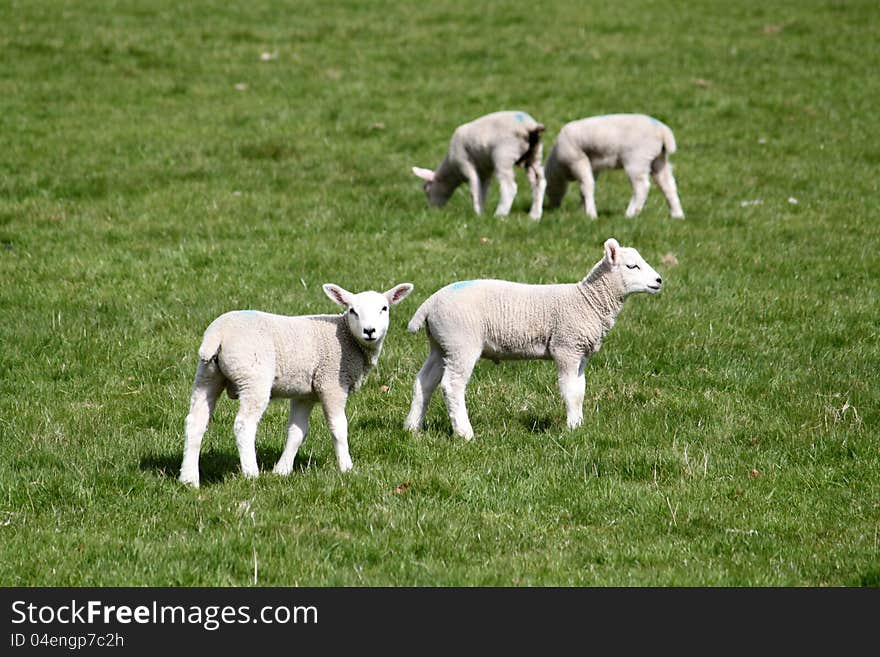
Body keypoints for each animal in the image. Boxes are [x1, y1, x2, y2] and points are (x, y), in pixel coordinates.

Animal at [180, 282, 416, 486]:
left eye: (384, 308)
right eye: (352, 311)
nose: (369, 331)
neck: (347, 338)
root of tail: (217, 334)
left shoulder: (305, 394)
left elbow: (297, 432)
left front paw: (282, 470)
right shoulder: (331, 382)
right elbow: (339, 427)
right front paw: (347, 468)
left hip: (208, 375)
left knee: (195, 422)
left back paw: (189, 479)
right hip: (253, 377)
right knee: (243, 425)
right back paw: (251, 474)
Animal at [406, 238, 660, 438]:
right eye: (632, 266)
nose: (659, 281)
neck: (588, 300)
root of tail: (430, 302)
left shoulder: (581, 354)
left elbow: (580, 391)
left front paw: (579, 425)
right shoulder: (566, 347)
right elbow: (570, 392)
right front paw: (571, 429)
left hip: (440, 345)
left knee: (425, 381)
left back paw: (412, 427)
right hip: (461, 343)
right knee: (452, 385)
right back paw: (464, 433)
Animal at [410, 109, 548, 219]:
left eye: (426, 189)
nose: (431, 211)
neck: (452, 170)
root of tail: (529, 126)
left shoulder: (465, 164)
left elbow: (474, 189)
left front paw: (477, 214)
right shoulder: (485, 171)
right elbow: (483, 190)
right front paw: (482, 211)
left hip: (504, 155)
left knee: (509, 187)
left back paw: (499, 215)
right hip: (534, 156)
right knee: (539, 182)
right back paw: (534, 216)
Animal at [544, 115, 688, 220]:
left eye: (547, 188)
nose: (553, 207)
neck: (558, 167)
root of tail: (663, 132)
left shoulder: (578, 160)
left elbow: (587, 186)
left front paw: (591, 214)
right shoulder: (593, 167)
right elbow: (585, 188)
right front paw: (582, 209)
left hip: (637, 159)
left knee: (642, 187)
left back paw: (631, 214)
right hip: (659, 160)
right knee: (668, 185)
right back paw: (677, 215)